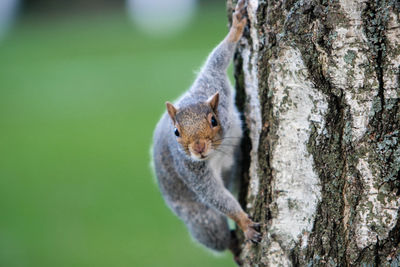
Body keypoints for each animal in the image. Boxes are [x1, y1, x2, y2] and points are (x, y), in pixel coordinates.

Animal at [152, 0, 260, 260]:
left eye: (213, 120)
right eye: (176, 132)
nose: (199, 147)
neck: (217, 151)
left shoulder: (212, 80)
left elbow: (219, 56)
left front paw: (237, 27)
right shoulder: (191, 170)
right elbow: (215, 196)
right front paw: (244, 222)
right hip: (202, 221)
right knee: (216, 234)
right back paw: (233, 244)